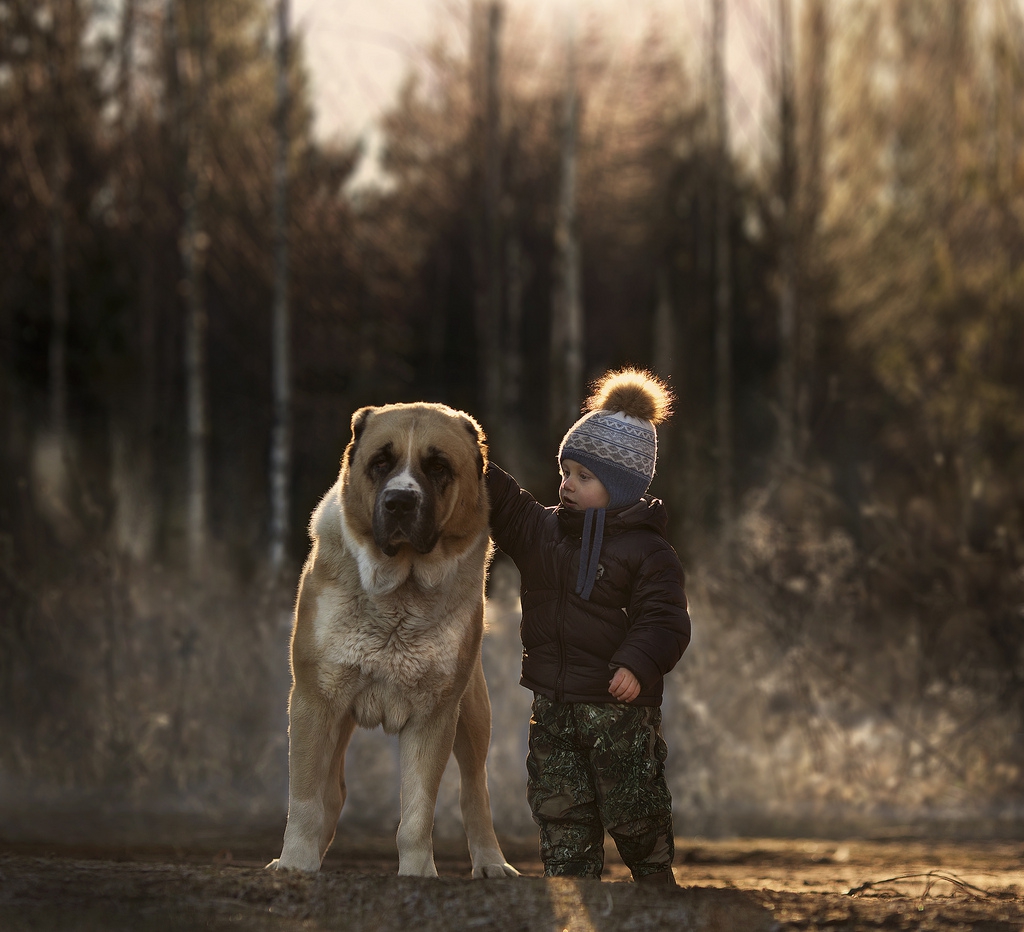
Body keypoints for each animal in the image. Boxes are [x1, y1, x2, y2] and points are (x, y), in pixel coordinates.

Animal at [268, 405, 516, 880]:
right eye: (380, 462)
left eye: (438, 467)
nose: (400, 501)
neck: (399, 594)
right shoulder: (314, 700)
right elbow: (305, 798)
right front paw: (295, 863)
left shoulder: (435, 715)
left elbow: (418, 811)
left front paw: (418, 872)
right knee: (331, 791)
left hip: (474, 713)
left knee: (475, 791)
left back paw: (492, 863)